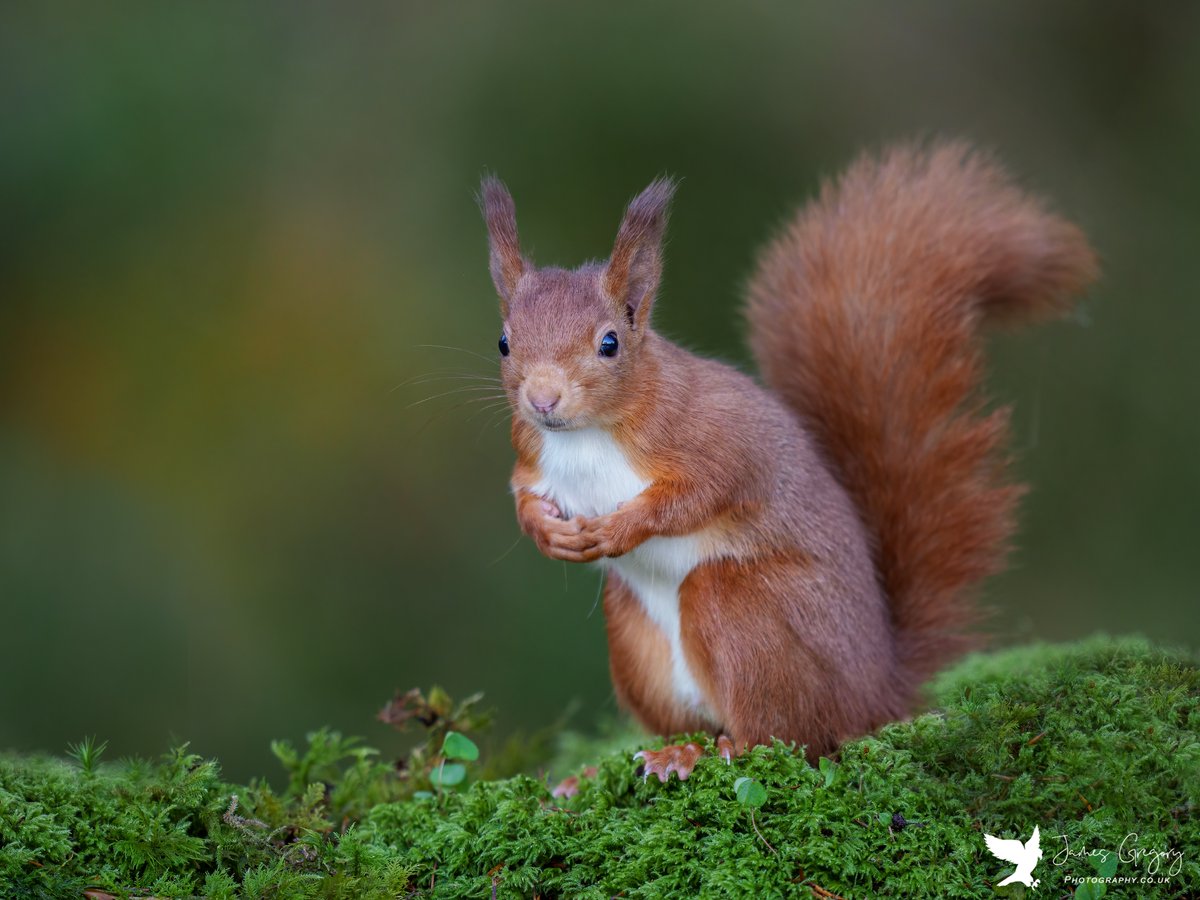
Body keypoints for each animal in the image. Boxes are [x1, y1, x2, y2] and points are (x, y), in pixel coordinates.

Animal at [479, 141, 1097, 783]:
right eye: (503, 342)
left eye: (609, 344)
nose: (542, 400)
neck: (586, 435)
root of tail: (876, 692)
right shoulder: (530, 453)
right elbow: (523, 492)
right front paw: (546, 532)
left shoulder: (715, 440)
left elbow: (700, 493)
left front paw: (624, 526)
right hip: (633, 635)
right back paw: (617, 767)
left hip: (745, 612)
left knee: (786, 738)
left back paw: (704, 753)